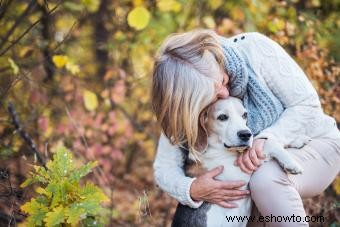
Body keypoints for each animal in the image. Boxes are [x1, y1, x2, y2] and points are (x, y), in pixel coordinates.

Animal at [173, 96, 306, 226]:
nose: (246, 134)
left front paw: (298, 140)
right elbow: (268, 144)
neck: (216, 146)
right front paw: (291, 163)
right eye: (222, 117)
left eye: (244, 115)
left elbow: (263, 140)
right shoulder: (237, 175)